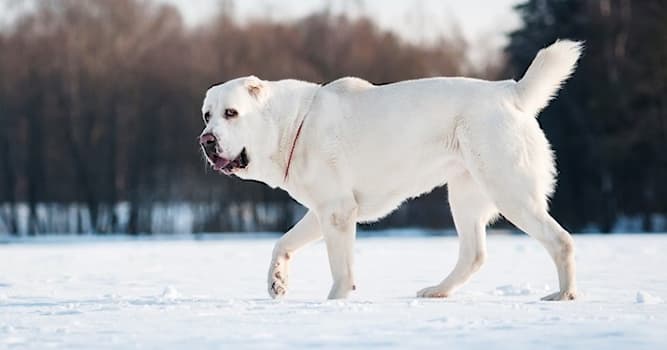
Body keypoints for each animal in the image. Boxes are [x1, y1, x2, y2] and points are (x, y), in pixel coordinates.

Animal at [201, 39, 580, 300]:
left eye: (231, 113)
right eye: (207, 115)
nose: (206, 140)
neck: (291, 126)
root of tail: (510, 92)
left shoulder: (337, 212)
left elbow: (341, 269)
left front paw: (334, 301)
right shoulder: (327, 209)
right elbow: (282, 242)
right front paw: (276, 281)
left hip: (508, 188)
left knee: (560, 241)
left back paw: (564, 295)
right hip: (465, 194)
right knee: (473, 254)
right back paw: (437, 291)